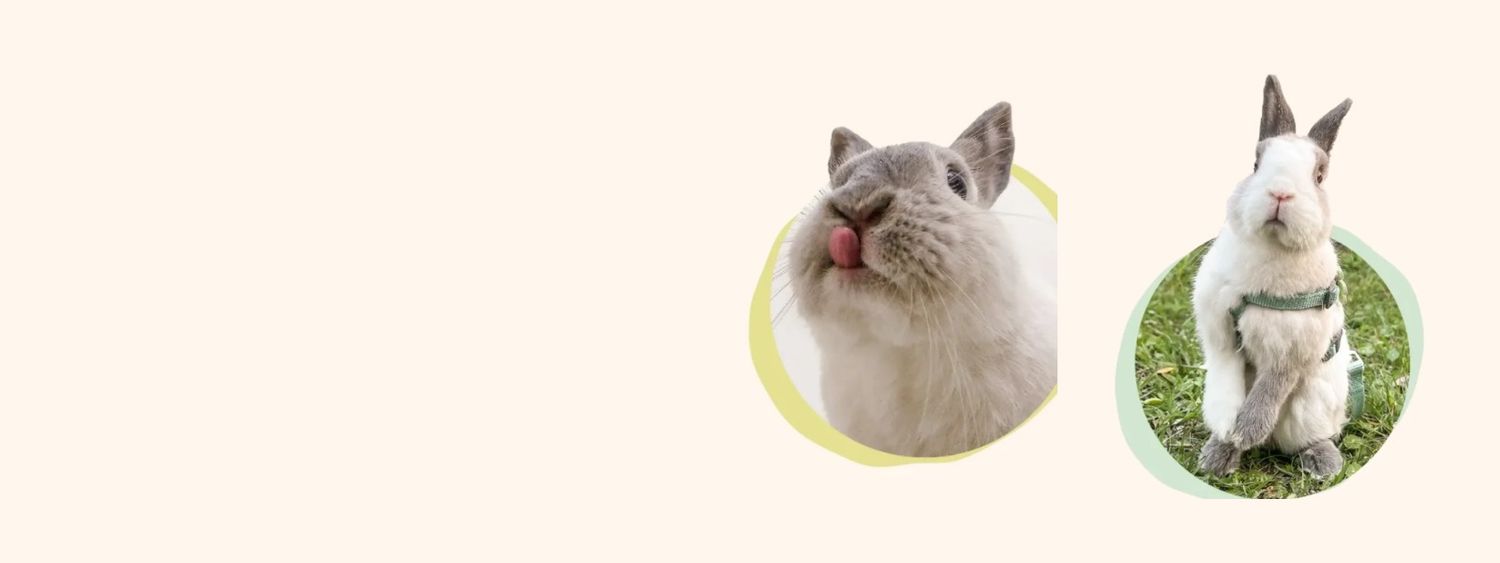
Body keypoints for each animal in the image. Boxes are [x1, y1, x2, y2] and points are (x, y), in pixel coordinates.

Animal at [1193, 75, 1354, 478]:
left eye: (1319, 176)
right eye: (1255, 164)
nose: (1280, 193)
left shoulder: (1295, 348)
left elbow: (1273, 385)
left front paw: (1247, 431)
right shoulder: (1219, 327)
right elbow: (1227, 375)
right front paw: (1230, 431)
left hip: (1312, 407)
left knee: (1308, 437)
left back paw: (1322, 462)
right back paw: (1218, 457)